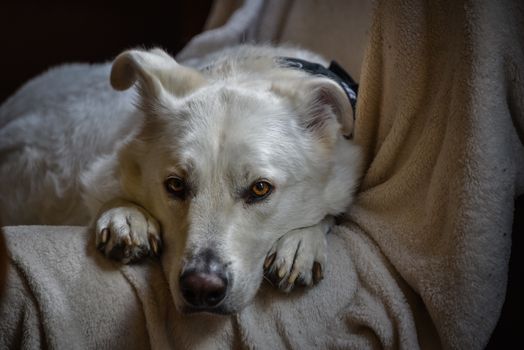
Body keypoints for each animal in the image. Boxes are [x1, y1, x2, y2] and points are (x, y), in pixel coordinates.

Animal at [0, 44, 360, 314]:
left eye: (260, 189)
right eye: (175, 185)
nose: (201, 289)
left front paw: (301, 242)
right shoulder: (101, 171)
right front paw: (127, 216)